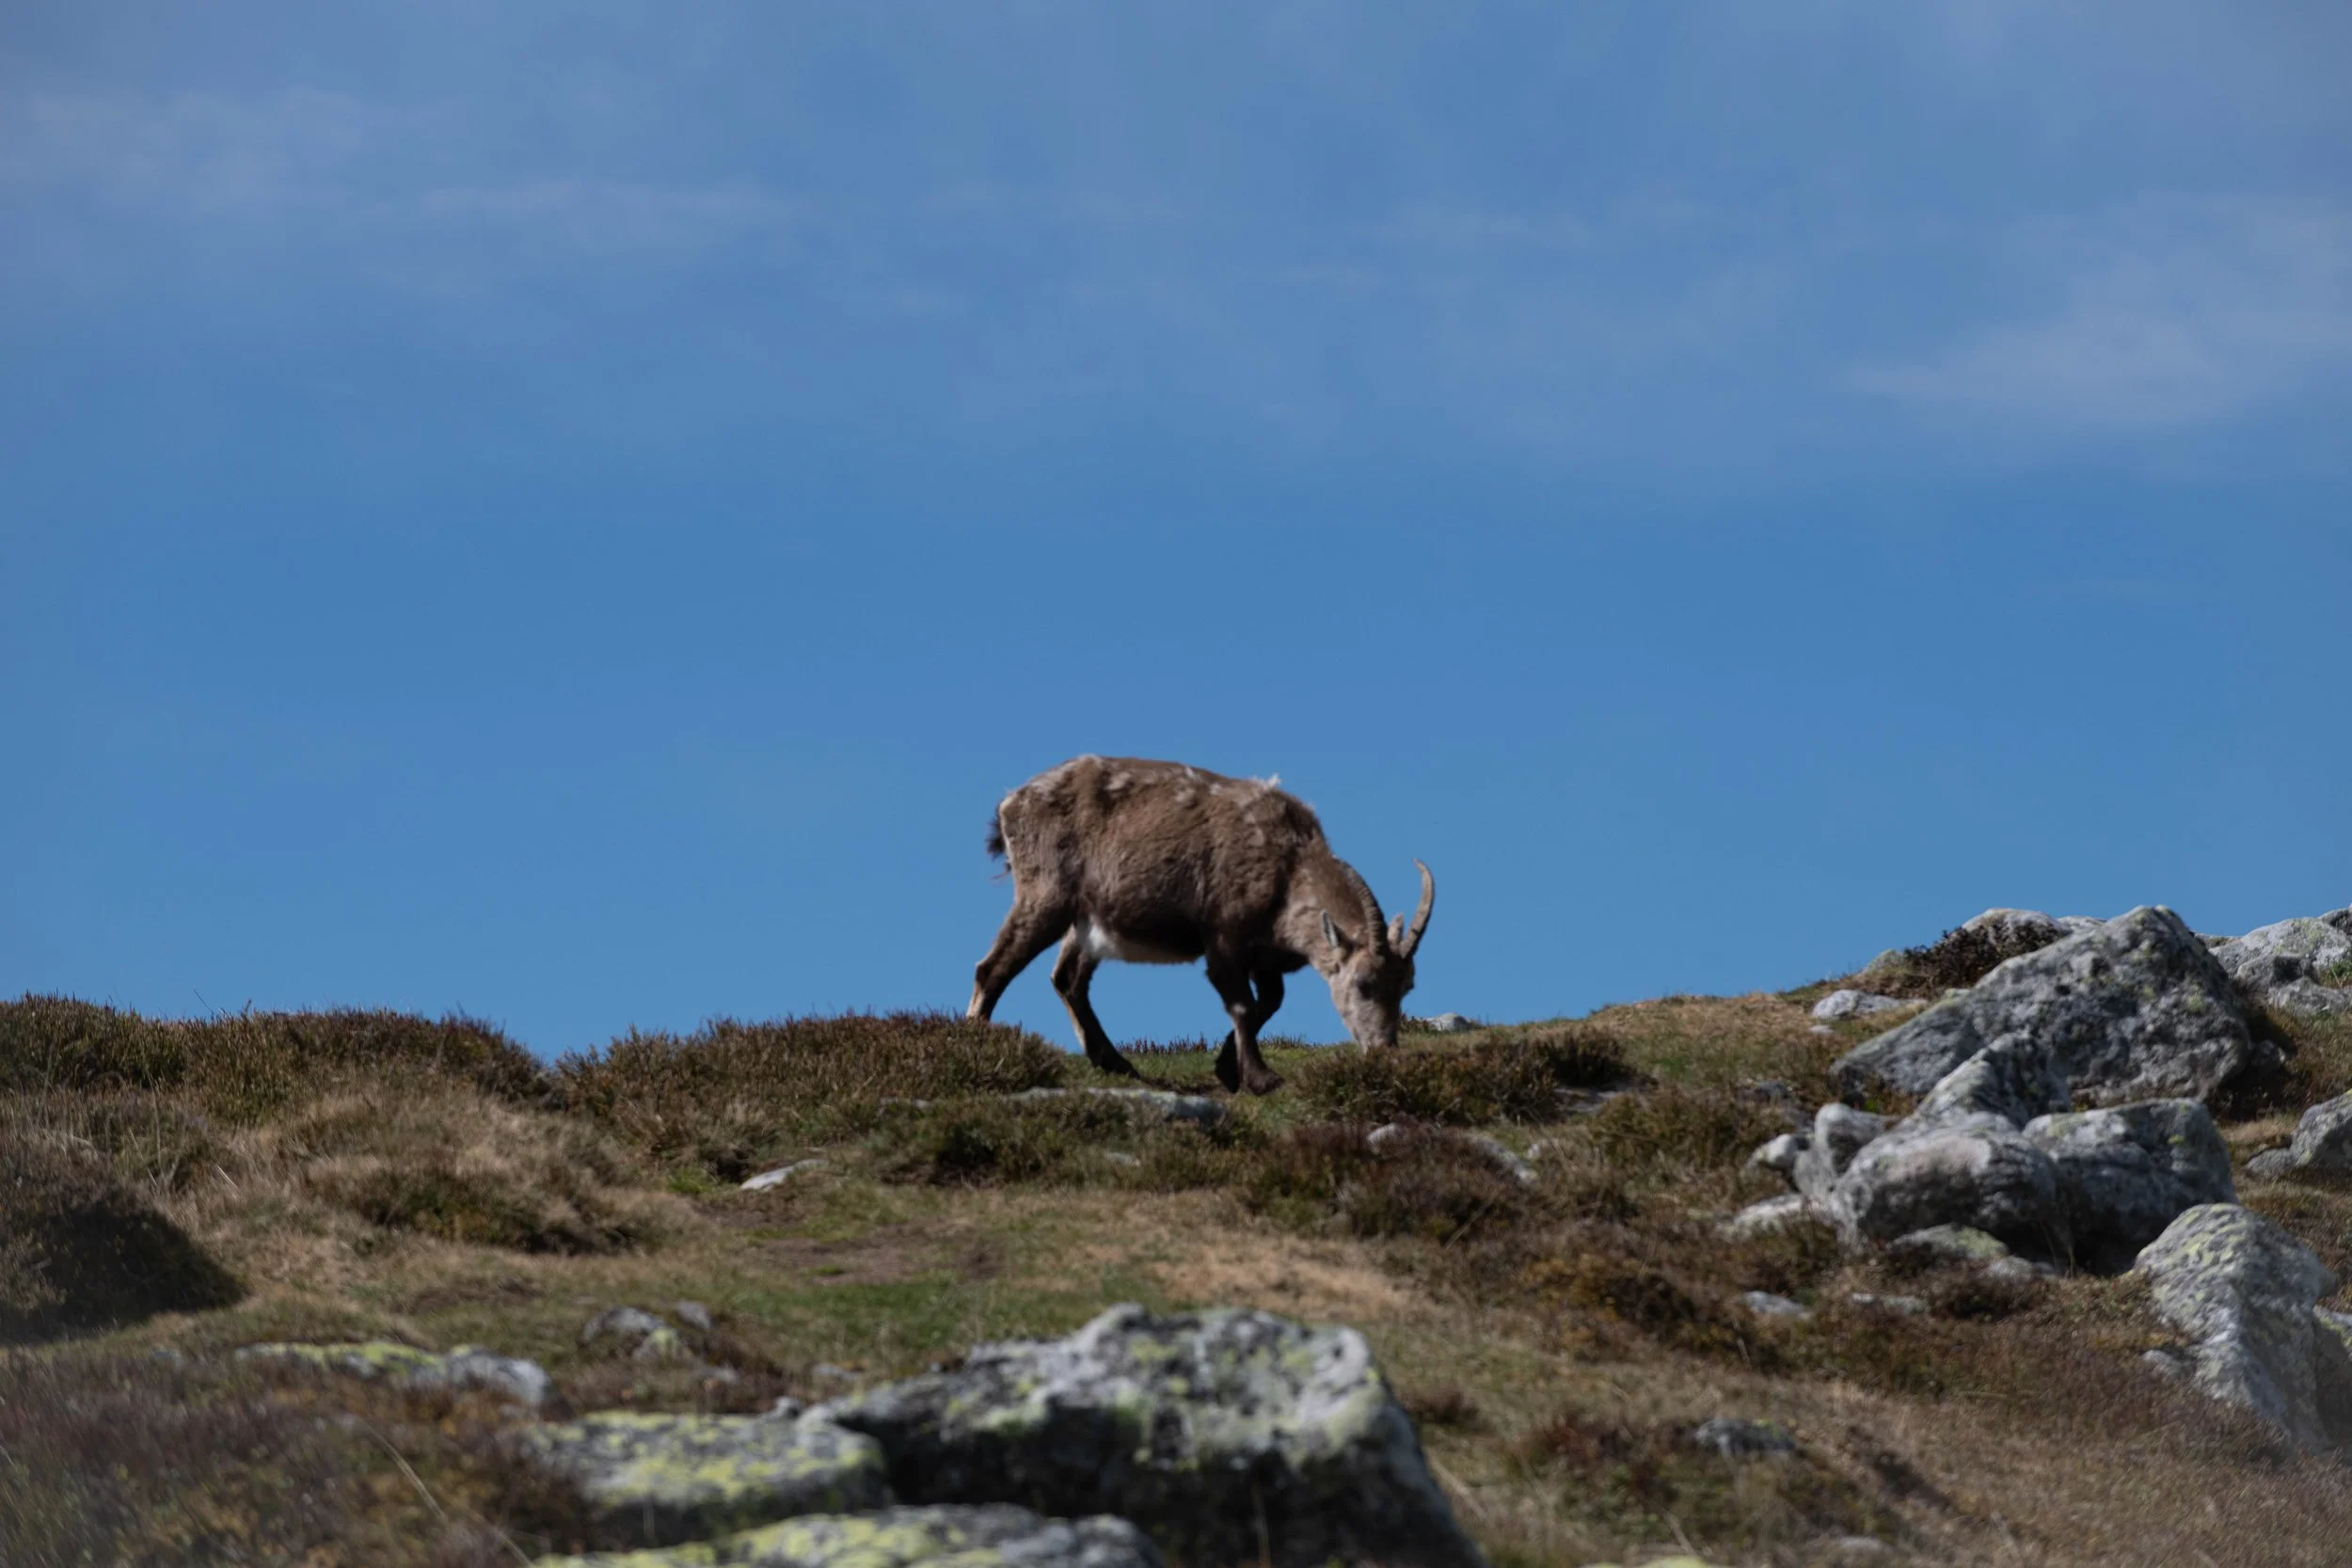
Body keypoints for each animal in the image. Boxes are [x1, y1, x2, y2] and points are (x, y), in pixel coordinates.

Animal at [965, 755, 1433, 1095]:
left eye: (1407, 986)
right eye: (1364, 985)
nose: (1384, 1050)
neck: (1288, 865)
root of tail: (1012, 804)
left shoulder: (1263, 956)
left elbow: (1270, 1002)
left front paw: (1228, 1068)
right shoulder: (1223, 937)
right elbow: (1243, 1005)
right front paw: (1260, 1079)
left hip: (1085, 921)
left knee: (1067, 979)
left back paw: (1114, 1061)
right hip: (1046, 894)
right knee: (993, 967)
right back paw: (976, 1044)